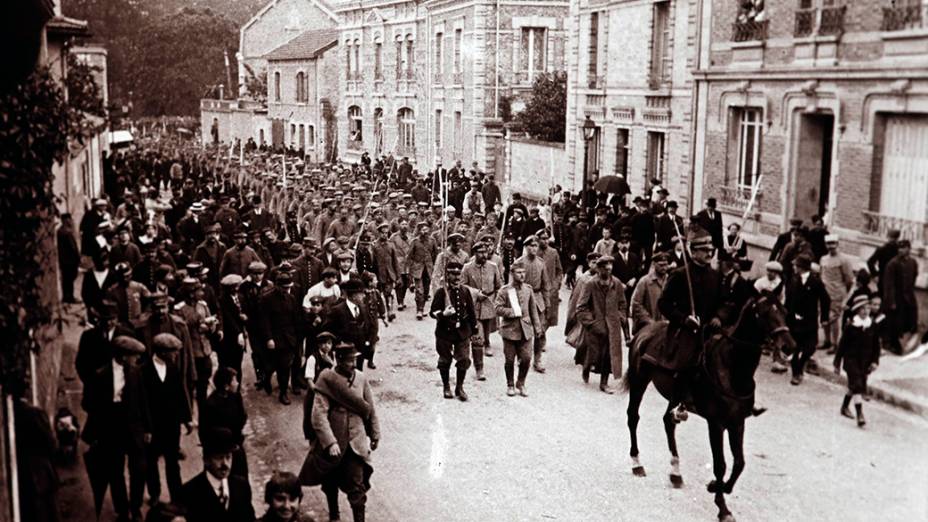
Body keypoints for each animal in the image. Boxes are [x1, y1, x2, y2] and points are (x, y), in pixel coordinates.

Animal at [620, 292, 792, 520]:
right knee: (633, 417)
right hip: (639, 379)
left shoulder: (737, 423)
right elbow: (721, 465)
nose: (789, 346)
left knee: (668, 421)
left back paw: (675, 472)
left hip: (673, 395)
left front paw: (717, 487)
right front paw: (722, 506)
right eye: (763, 313)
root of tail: (645, 330)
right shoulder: (716, 423)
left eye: (784, 311)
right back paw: (637, 463)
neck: (732, 368)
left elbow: (739, 463)